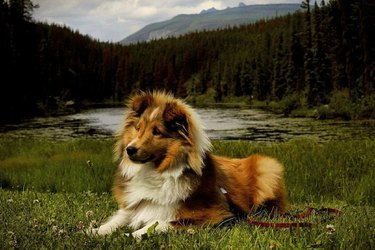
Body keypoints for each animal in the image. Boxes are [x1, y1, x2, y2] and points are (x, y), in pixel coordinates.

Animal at [93, 91, 288, 237]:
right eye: (138, 128)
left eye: (157, 132)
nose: (130, 150)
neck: (155, 172)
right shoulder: (134, 205)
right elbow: (117, 219)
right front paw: (95, 230)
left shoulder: (216, 214)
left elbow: (162, 221)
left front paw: (133, 234)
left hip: (267, 166)